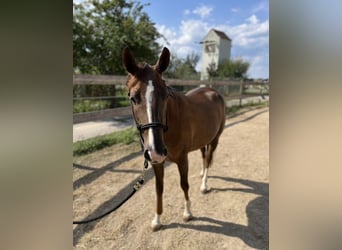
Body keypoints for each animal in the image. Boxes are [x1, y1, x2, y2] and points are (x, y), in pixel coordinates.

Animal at [122, 47, 224, 230]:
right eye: (133, 98)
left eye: (165, 95)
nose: (156, 150)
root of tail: (213, 92)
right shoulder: (157, 163)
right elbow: (158, 188)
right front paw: (157, 220)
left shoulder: (182, 159)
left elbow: (184, 184)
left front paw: (188, 213)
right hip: (203, 140)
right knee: (204, 156)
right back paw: (201, 174)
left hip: (215, 140)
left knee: (208, 159)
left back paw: (204, 185)